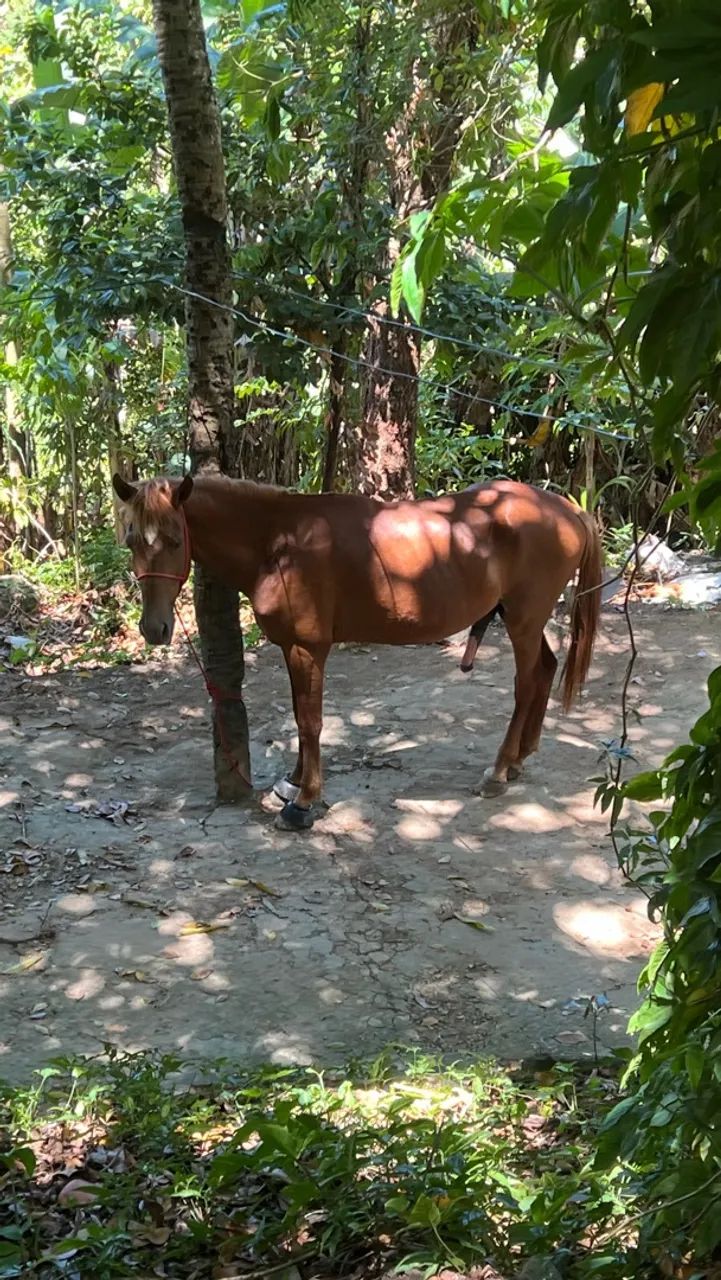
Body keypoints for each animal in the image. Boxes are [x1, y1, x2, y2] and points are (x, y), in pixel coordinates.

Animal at [112, 473, 602, 831]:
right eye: (131, 539)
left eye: (175, 540)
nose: (154, 629)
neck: (277, 542)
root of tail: (569, 509)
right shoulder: (292, 646)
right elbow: (299, 714)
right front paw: (294, 782)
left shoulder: (309, 648)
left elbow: (309, 721)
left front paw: (305, 801)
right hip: (526, 620)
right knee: (545, 670)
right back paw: (520, 758)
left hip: (523, 619)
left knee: (526, 684)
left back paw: (498, 771)